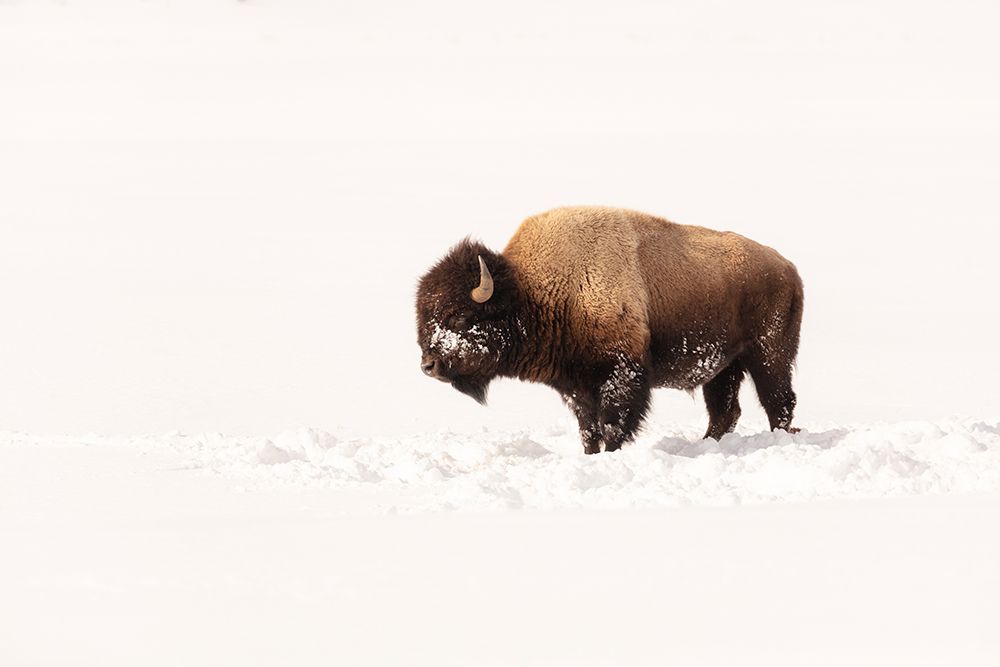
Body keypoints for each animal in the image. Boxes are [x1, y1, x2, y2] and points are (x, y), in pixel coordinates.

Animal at [415, 206, 804, 454]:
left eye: (460, 318)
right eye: (424, 319)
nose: (428, 366)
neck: (535, 290)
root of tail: (787, 267)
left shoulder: (621, 374)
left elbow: (613, 424)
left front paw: (612, 453)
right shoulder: (575, 386)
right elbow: (588, 428)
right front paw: (591, 455)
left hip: (769, 355)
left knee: (778, 402)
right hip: (724, 367)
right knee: (726, 411)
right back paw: (706, 445)